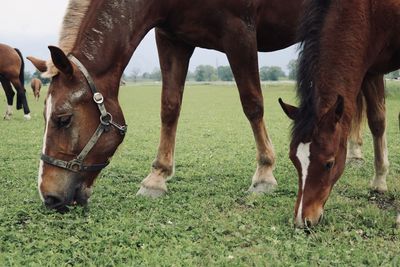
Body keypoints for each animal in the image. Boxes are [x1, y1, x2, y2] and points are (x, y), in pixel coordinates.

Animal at [278, 0, 400, 228]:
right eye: (293, 159)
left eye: (330, 163)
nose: (303, 220)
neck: (371, 10)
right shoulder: (369, 68)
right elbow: (377, 121)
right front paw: (380, 181)